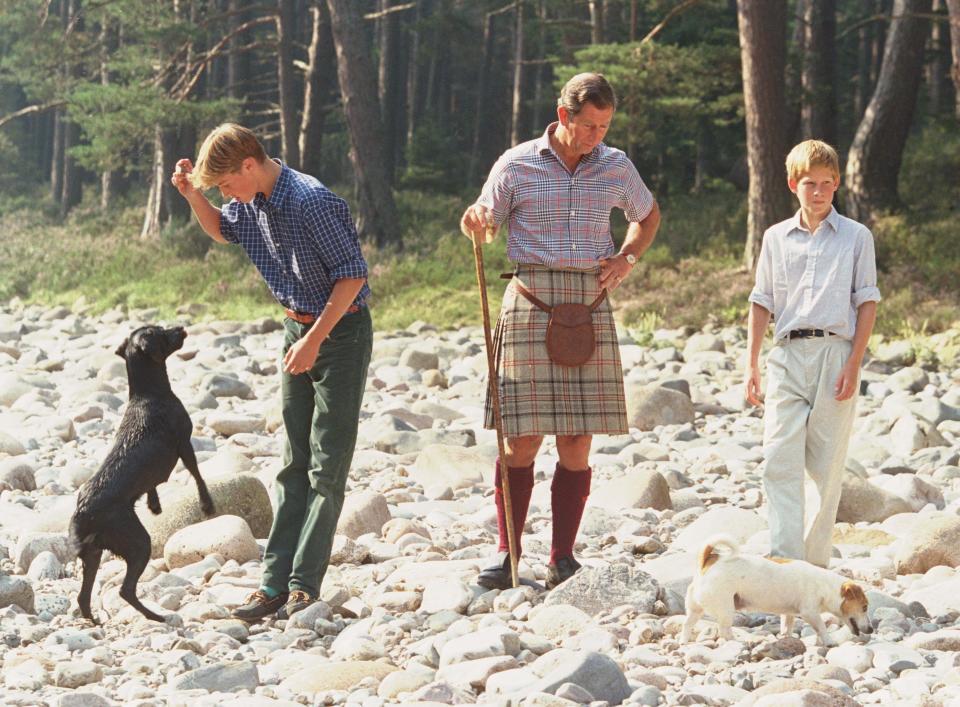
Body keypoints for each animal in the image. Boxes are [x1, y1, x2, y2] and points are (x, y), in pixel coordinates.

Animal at [69, 324, 216, 624]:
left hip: (94, 553)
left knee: (83, 596)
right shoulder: (184, 443)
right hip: (137, 542)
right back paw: (157, 617)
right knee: (125, 590)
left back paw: (95, 621)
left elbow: (152, 485)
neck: (148, 394)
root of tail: (82, 512)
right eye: (160, 331)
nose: (181, 326)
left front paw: (154, 504)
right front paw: (207, 504)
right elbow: (196, 474)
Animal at [680, 536, 872, 648]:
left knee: (687, 624)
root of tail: (709, 560)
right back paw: (738, 642)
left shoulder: (789, 614)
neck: (825, 586)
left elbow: (786, 627)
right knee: (724, 631)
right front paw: (829, 641)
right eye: (864, 607)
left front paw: (787, 639)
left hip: (695, 609)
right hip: (726, 609)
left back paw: (683, 642)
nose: (871, 629)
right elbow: (822, 628)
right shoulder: (810, 613)